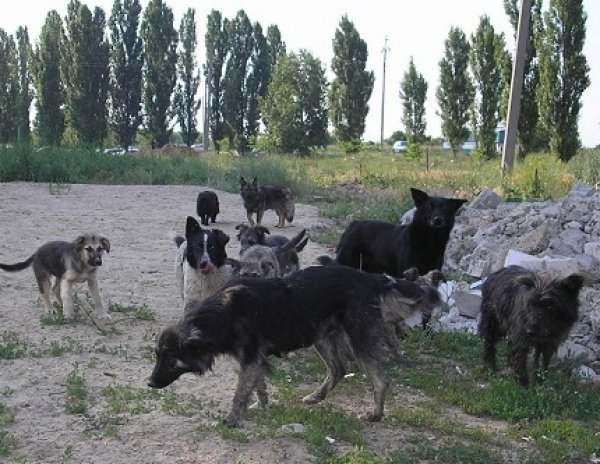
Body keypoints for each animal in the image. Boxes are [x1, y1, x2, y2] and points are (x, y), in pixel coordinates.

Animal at [148, 264, 442, 428]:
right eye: (158, 355)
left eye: (170, 357)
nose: (149, 383)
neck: (224, 313)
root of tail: (371, 278)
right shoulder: (253, 359)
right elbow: (258, 386)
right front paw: (262, 407)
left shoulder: (250, 357)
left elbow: (241, 391)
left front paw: (232, 419)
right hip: (321, 337)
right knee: (338, 369)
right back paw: (316, 396)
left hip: (357, 339)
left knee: (379, 379)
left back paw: (375, 414)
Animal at [330, 188, 466, 278]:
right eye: (428, 207)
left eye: (445, 208)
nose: (437, 219)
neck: (429, 239)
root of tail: (354, 224)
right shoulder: (406, 271)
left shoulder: (435, 269)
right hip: (346, 261)